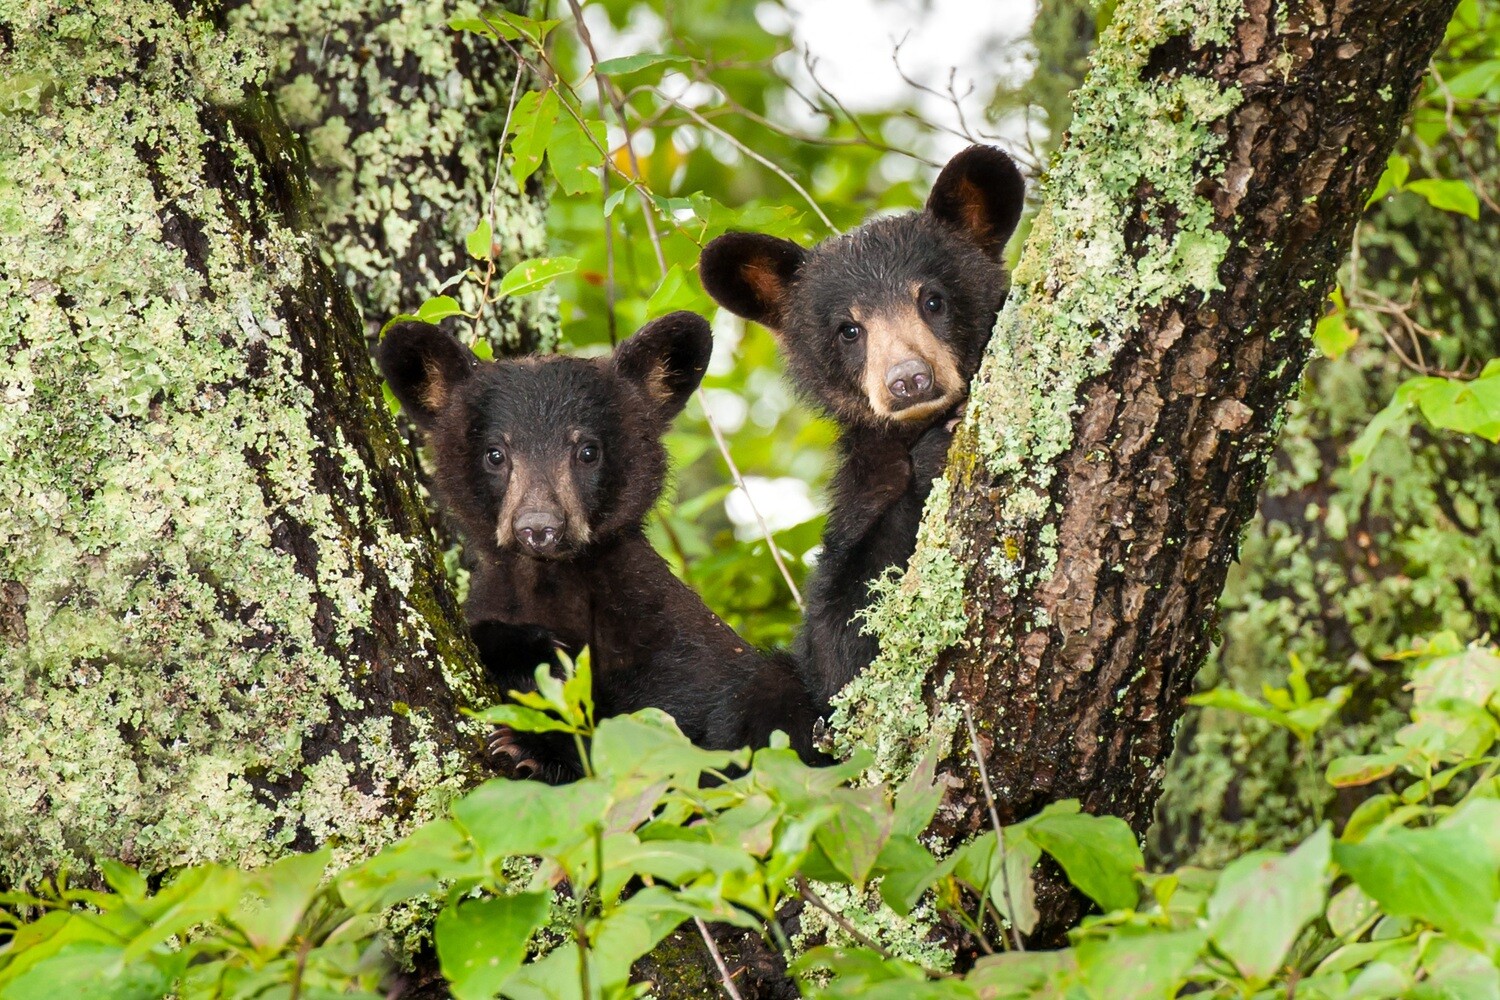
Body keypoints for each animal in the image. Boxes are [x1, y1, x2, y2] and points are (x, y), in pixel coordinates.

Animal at [374, 311, 826, 782]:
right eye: (495, 454)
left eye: (588, 451)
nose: (540, 527)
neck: (554, 580)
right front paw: (534, 653)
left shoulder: (667, 634)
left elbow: (683, 730)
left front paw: (534, 747)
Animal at [698, 144, 1025, 713]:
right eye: (849, 329)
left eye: (932, 300)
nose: (910, 380)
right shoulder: (858, 493)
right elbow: (846, 634)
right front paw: (934, 453)